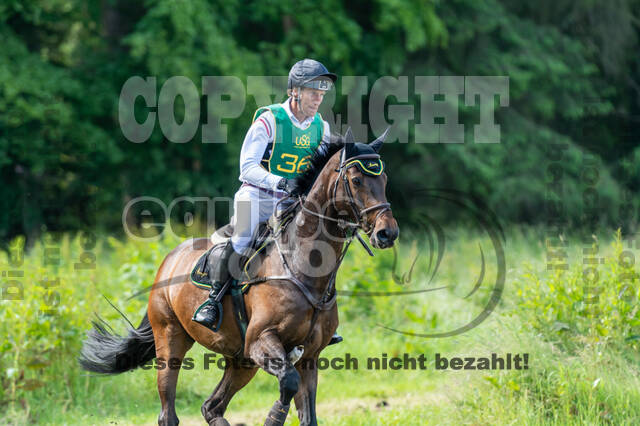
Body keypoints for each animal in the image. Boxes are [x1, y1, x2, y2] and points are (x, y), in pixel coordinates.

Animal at [79, 129, 399, 426]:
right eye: (356, 180)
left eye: (384, 180)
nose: (387, 233)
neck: (303, 269)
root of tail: (168, 261)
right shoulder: (261, 341)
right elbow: (288, 382)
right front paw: (273, 417)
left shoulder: (308, 356)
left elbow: (307, 413)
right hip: (172, 339)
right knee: (168, 410)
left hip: (241, 361)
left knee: (211, 407)